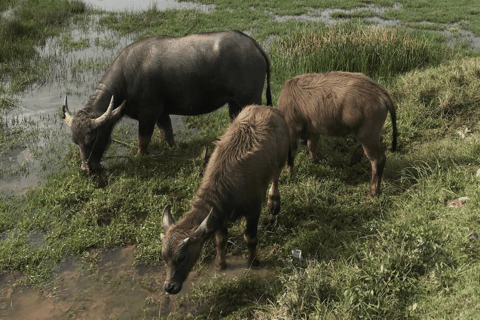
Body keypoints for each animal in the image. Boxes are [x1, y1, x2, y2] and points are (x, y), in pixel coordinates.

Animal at [62, 30, 272, 172]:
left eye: (93, 138)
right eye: (75, 141)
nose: (86, 169)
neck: (126, 79)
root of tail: (253, 44)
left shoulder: (148, 115)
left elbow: (143, 139)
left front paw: (139, 157)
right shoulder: (161, 113)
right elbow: (167, 132)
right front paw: (173, 148)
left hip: (250, 99)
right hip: (234, 102)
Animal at [159, 105, 290, 296]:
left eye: (181, 257)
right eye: (163, 257)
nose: (170, 287)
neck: (226, 186)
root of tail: (267, 108)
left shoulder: (253, 210)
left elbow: (250, 237)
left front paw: (253, 262)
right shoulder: (220, 216)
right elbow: (220, 240)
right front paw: (220, 265)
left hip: (280, 160)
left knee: (275, 178)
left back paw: (274, 203)